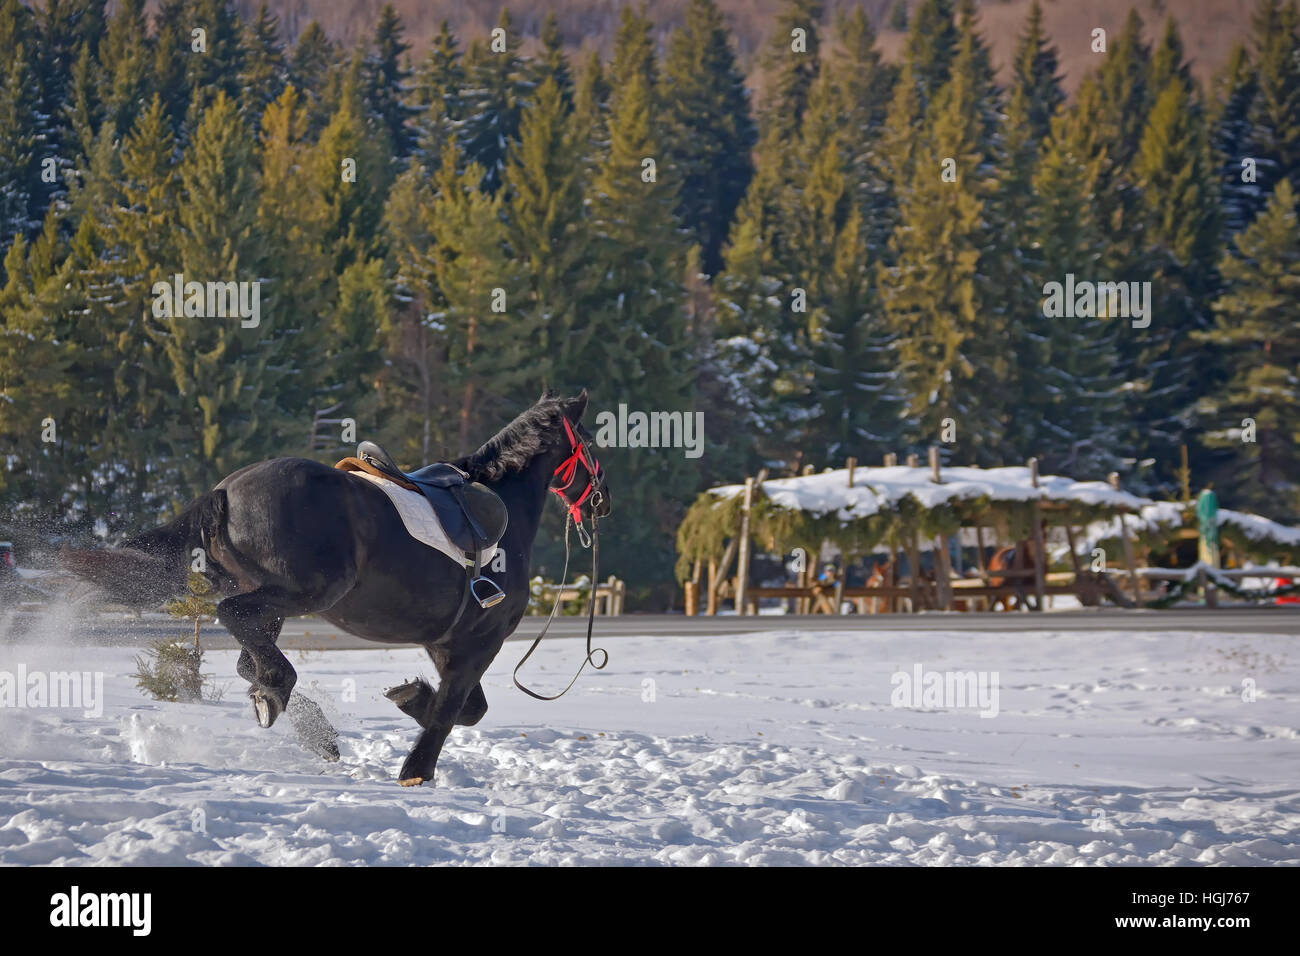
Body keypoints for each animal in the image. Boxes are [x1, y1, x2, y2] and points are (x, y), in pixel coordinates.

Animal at [61, 390, 609, 787]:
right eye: (591, 444)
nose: (600, 500)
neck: (503, 509)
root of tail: (227, 490)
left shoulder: (445, 642)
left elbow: (466, 707)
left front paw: (408, 695)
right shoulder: (480, 641)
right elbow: (455, 710)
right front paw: (416, 770)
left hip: (273, 596)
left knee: (247, 653)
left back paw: (306, 723)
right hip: (304, 592)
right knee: (237, 621)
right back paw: (282, 695)